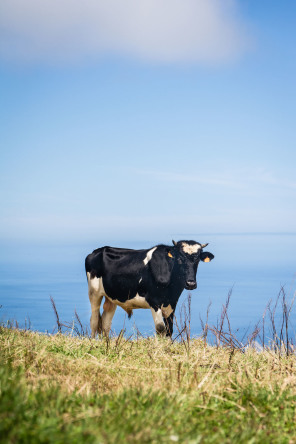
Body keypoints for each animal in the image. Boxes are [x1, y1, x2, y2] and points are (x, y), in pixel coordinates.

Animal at [84, 239, 214, 336]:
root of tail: (97, 251)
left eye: (197, 260)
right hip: (94, 293)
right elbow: (160, 328)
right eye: (179, 258)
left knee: (105, 322)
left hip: (111, 296)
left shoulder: (172, 302)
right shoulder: (154, 300)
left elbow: (169, 329)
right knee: (94, 321)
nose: (190, 283)